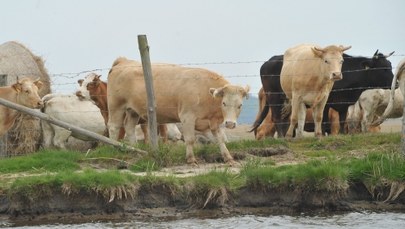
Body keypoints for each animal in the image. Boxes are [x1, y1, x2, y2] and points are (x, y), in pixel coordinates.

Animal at [106, 57, 249, 165]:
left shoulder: (214, 122)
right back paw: (112, 148)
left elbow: (220, 139)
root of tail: (124, 61)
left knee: (129, 127)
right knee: (114, 127)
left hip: (132, 110)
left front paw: (228, 158)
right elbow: (190, 139)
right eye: (224, 103)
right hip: (116, 105)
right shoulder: (187, 117)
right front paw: (191, 159)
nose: (230, 124)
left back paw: (134, 148)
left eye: (240, 105)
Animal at [251, 50, 392, 136]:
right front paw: (321, 135)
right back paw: (281, 137)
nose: (393, 82)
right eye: (384, 68)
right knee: (275, 120)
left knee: (284, 121)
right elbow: (323, 121)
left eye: (390, 66)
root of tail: (268, 62)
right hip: (274, 98)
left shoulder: (344, 104)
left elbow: (342, 122)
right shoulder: (327, 103)